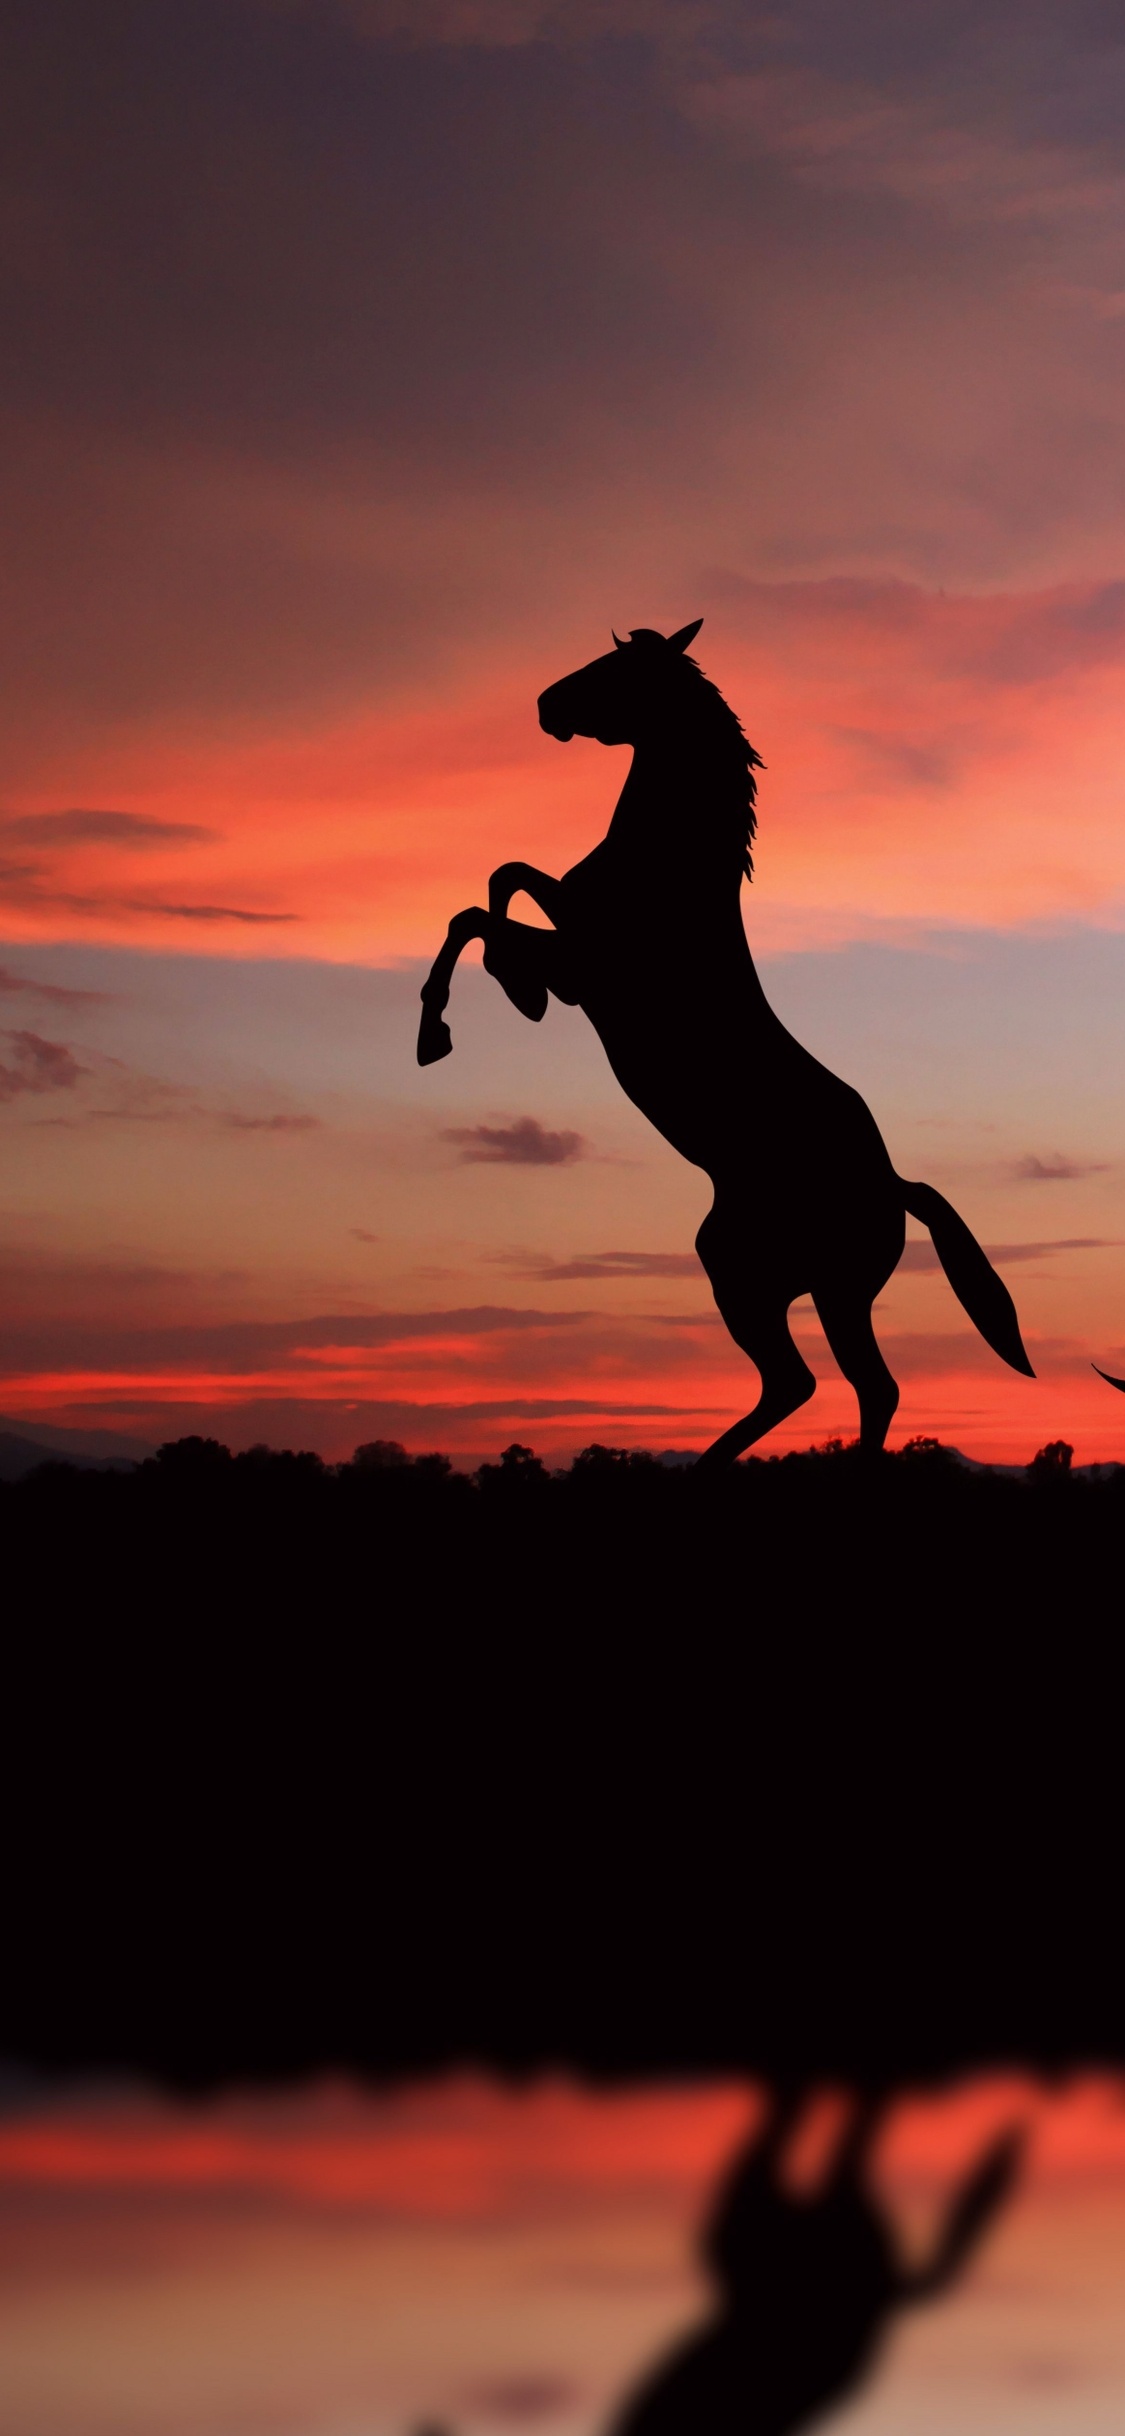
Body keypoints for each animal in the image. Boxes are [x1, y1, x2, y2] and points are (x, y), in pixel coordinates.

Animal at [418, 620, 1033, 1468]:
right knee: (831, 1386)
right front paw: (507, 995)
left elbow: (482, 912)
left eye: (618, 668)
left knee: (835, 1384)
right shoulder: (573, 930)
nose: (546, 706)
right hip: (782, 1279)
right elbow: (502, 882)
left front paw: (449, 1026)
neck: (667, 867)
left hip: (782, 1281)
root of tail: (893, 1184)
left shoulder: (585, 964)